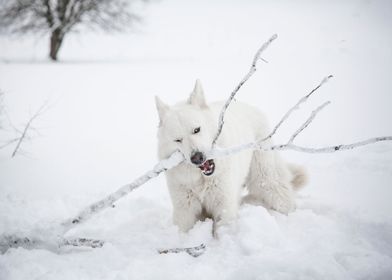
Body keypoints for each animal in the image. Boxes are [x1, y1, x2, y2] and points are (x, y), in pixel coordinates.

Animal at [155, 80, 306, 233]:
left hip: (265, 181)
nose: (197, 157)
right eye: (177, 140)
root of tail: (251, 107)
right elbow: (182, 231)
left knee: (283, 199)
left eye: (196, 130)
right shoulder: (185, 210)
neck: (202, 180)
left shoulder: (224, 207)